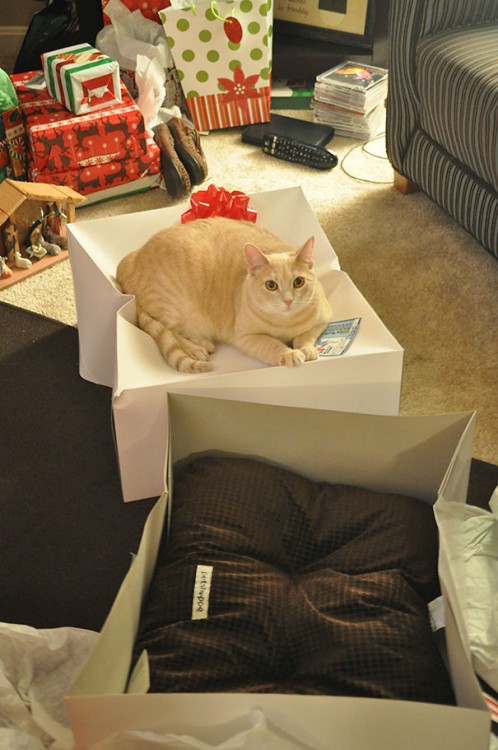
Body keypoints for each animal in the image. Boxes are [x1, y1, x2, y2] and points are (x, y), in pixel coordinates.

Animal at [116, 216, 332, 372]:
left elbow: (306, 336)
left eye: (298, 282)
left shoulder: (323, 320)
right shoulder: (245, 337)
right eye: (271, 285)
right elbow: (271, 344)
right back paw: (197, 348)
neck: (285, 324)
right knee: (171, 331)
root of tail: (131, 258)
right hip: (173, 308)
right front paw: (288, 353)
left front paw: (306, 349)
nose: (288, 300)